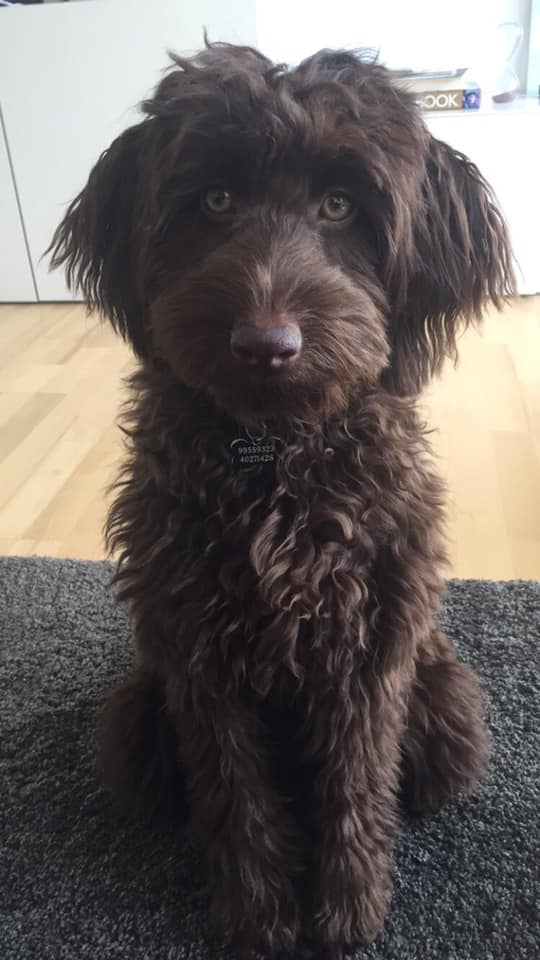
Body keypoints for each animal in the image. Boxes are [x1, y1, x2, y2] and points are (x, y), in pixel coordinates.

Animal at [50, 42, 515, 960]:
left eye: (339, 204)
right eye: (215, 199)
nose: (266, 344)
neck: (276, 455)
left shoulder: (371, 643)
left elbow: (355, 779)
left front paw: (346, 911)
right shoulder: (198, 650)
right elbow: (236, 792)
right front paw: (260, 918)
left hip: (446, 703)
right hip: (136, 718)